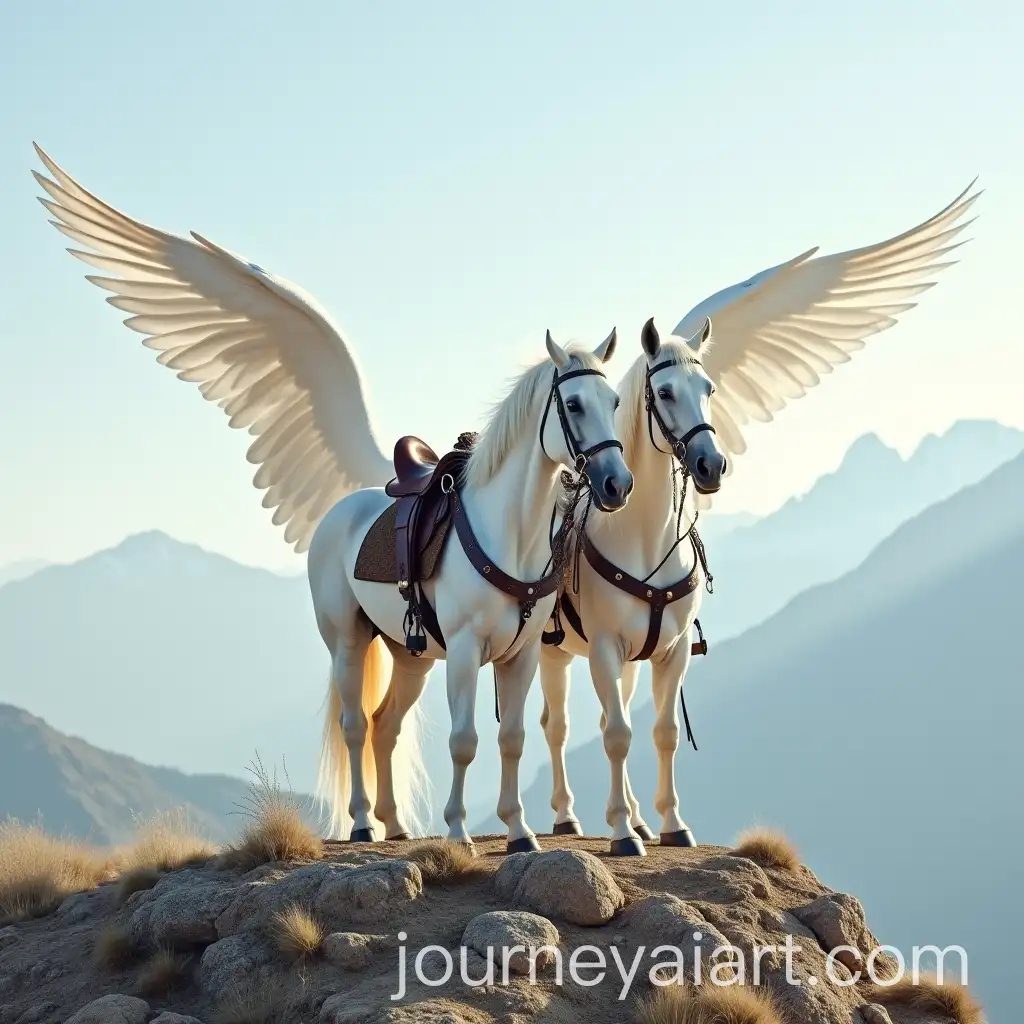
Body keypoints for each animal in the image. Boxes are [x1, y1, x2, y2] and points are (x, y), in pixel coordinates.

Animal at [309, 331, 633, 852]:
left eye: (615, 401)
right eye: (574, 404)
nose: (617, 484)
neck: (511, 534)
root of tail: (338, 514)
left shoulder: (521, 656)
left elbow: (513, 738)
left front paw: (519, 831)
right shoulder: (463, 651)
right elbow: (464, 741)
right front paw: (458, 830)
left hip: (411, 658)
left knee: (385, 727)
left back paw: (395, 824)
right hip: (347, 643)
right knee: (354, 727)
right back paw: (362, 823)